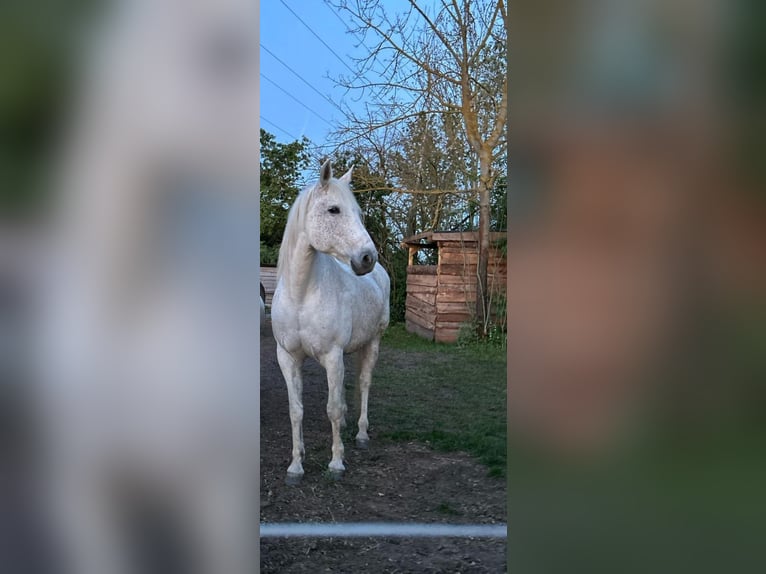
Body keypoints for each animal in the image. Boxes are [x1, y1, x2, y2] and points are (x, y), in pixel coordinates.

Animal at [271, 160, 390, 484]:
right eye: (333, 210)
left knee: (364, 383)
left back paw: (361, 434)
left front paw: (336, 463)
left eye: (359, 213)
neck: (301, 294)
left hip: (373, 343)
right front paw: (295, 466)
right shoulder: (287, 357)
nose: (367, 258)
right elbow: (295, 410)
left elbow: (332, 409)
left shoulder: (332, 356)